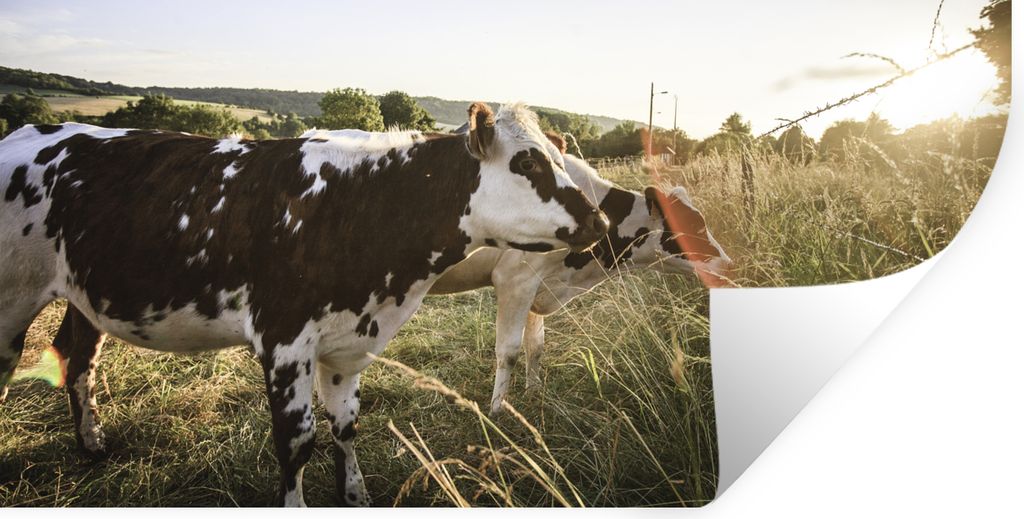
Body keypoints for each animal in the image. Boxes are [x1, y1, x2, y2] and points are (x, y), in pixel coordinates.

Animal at [0, 102, 609, 506]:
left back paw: (92, 444)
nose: (599, 221)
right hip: (12, 301)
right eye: (528, 164)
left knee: (77, 358)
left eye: (560, 157)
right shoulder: (285, 339)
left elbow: (345, 428)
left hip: (84, 294)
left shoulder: (348, 342)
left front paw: (357, 497)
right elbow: (296, 443)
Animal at [427, 133, 732, 415]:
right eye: (692, 225)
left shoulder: (538, 285)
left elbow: (535, 345)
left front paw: (534, 391)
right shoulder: (515, 280)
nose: (729, 265)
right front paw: (496, 412)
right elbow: (509, 351)